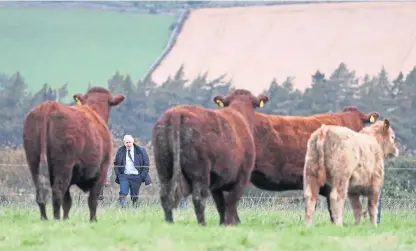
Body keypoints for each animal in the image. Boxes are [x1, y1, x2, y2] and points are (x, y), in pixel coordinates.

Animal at [22, 86, 124, 222]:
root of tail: (48, 105)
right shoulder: (102, 170)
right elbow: (92, 200)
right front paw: (93, 220)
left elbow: (68, 202)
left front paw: (66, 219)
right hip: (64, 165)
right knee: (57, 192)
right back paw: (56, 219)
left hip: (33, 162)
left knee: (41, 193)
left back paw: (45, 218)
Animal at [153, 89, 270, 226]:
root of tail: (176, 112)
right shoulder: (243, 176)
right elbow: (231, 202)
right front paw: (230, 224)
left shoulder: (217, 181)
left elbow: (221, 205)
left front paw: (223, 223)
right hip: (200, 171)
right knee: (198, 197)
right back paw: (202, 224)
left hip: (163, 168)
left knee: (165, 195)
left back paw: (169, 222)